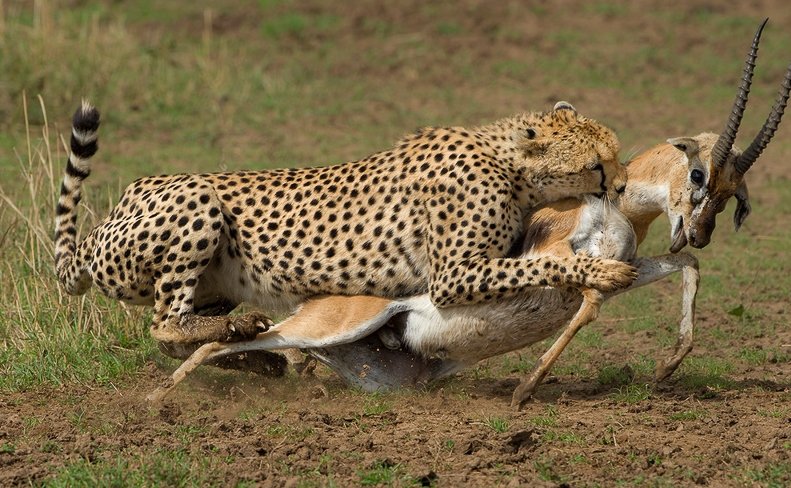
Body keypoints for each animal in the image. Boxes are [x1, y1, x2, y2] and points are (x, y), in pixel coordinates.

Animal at [55, 101, 636, 346]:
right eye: (597, 165)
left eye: (616, 153)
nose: (623, 186)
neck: (507, 163)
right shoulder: (452, 275)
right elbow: (538, 266)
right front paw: (601, 272)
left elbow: (534, 260)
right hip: (194, 198)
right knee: (163, 322)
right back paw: (228, 330)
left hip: (211, 281)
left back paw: (233, 329)